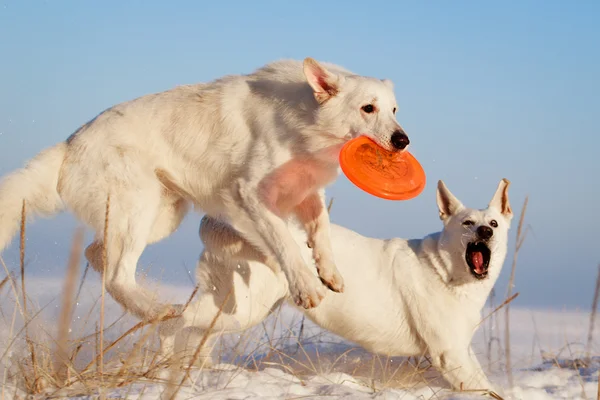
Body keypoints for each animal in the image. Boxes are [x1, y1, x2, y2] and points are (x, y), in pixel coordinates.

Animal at [0, 57, 410, 318]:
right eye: (368, 108)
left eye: (394, 110)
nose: (403, 141)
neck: (303, 119)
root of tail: (69, 144)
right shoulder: (249, 195)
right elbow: (284, 243)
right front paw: (306, 288)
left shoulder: (306, 189)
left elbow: (320, 229)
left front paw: (329, 272)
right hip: (139, 211)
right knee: (116, 275)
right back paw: (158, 311)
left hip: (159, 217)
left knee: (97, 255)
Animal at [158, 180, 510, 392]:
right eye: (467, 223)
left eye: (493, 222)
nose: (485, 232)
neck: (447, 271)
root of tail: (219, 218)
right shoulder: (451, 354)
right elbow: (488, 390)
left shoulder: (461, 350)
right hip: (244, 307)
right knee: (174, 318)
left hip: (233, 304)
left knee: (193, 329)